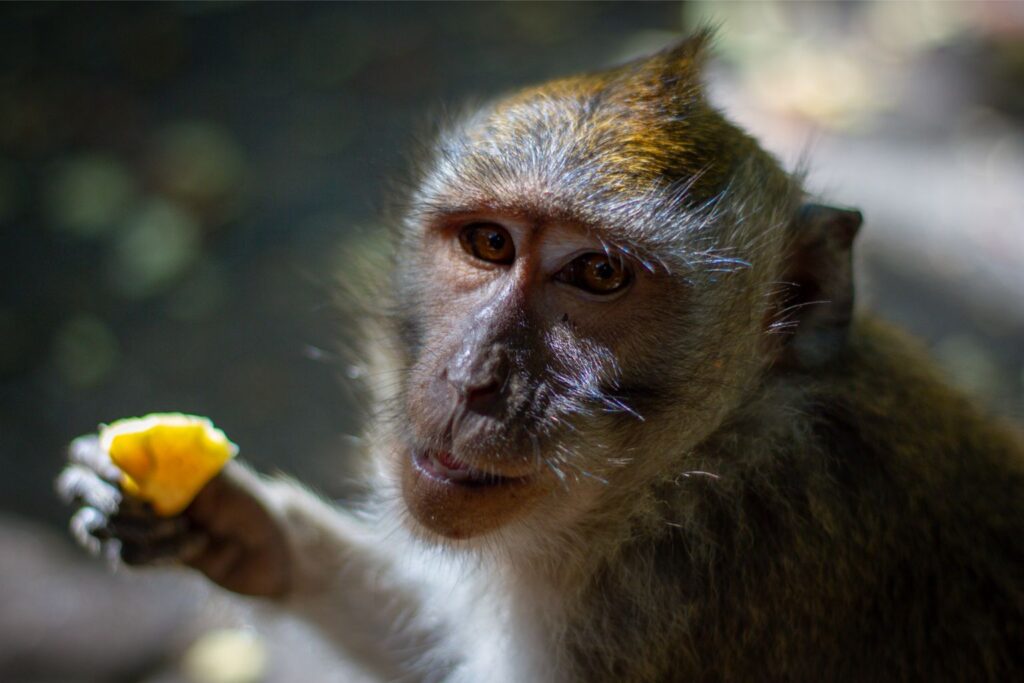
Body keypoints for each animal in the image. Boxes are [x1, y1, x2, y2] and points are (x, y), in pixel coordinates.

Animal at [56, 33, 1024, 683]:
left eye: (598, 274)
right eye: (488, 243)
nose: (473, 378)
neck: (698, 468)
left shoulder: (675, 606)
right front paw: (244, 528)